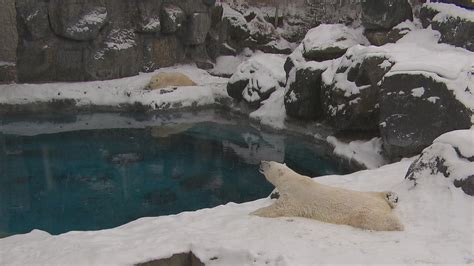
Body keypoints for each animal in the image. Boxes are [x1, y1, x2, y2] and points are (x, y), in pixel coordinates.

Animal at [252, 160, 404, 231]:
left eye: (269, 164)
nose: (261, 162)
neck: (292, 180)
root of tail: (383, 204)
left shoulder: (295, 195)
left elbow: (281, 207)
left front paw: (254, 212)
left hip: (365, 211)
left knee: (374, 219)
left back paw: (398, 224)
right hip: (369, 195)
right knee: (377, 193)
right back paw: (391, 195)